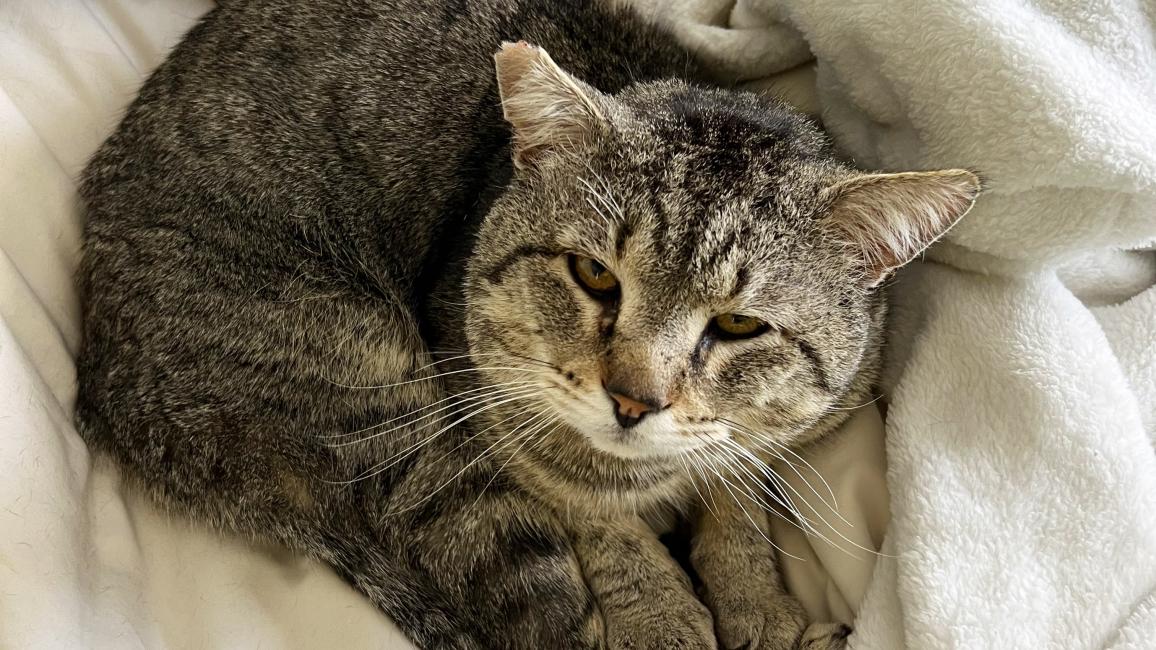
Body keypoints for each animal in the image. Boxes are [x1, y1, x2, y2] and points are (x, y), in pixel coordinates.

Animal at [74, 1, 975, 647]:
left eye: (739, 324)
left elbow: (737, 484)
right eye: (594, 274)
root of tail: (109, 394)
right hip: (393, 409)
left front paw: (756, 600)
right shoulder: (483, 396)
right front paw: (664, 616)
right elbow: (594, 517)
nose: (633, 400)